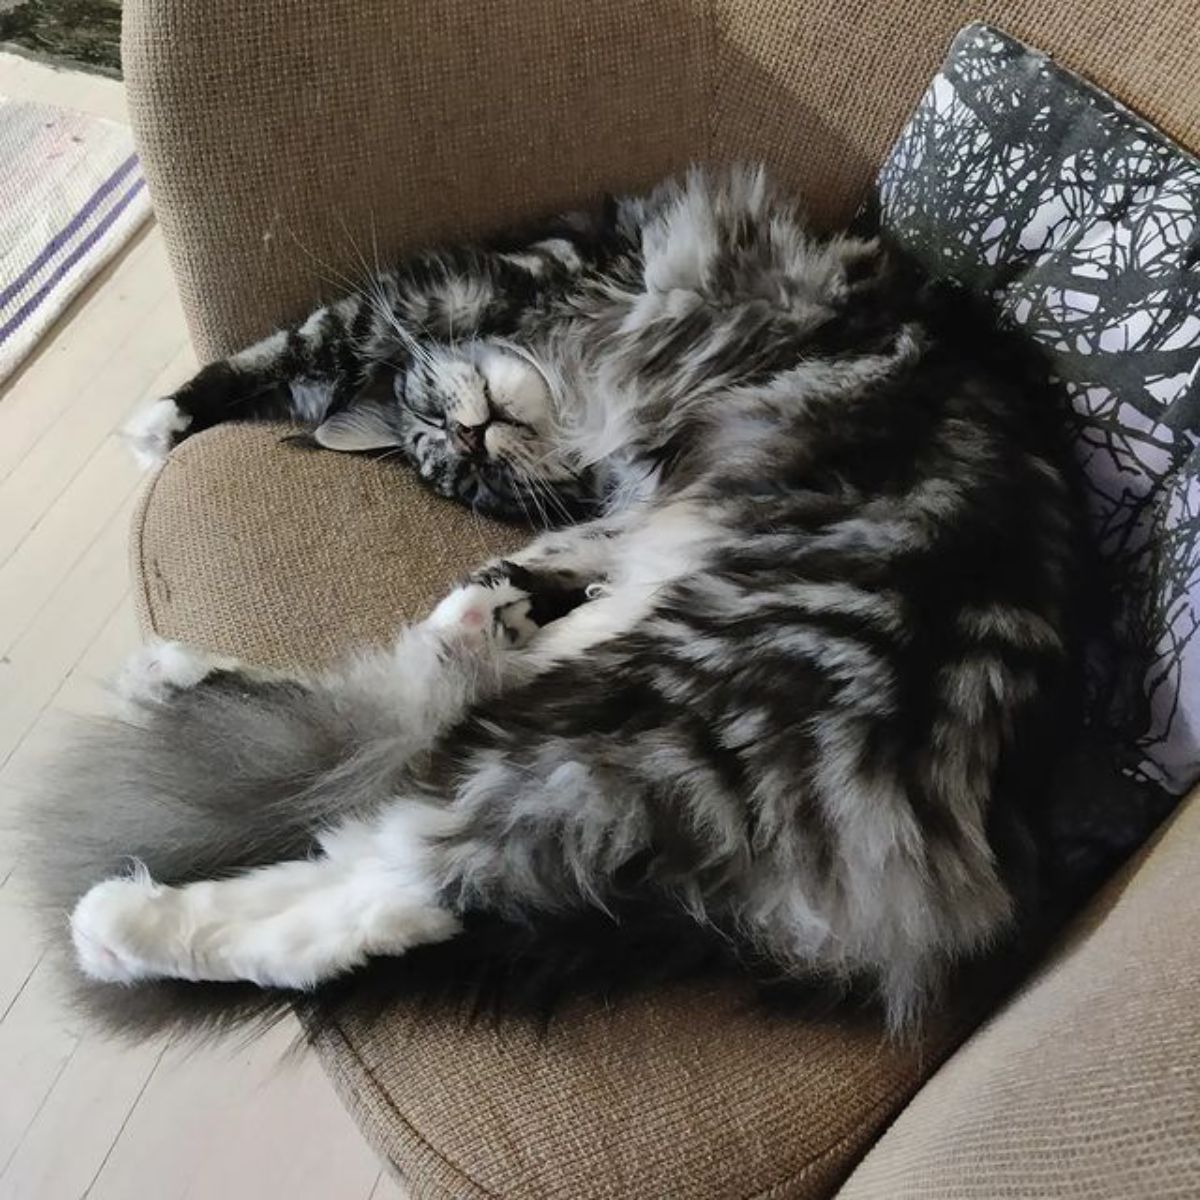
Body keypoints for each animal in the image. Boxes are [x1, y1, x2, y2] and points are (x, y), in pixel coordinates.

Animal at [28, 169, 1089, 1041]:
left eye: (449, 446)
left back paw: (120, 921)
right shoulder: (621, 519)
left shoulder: (471, 282)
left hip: (672, 700)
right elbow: (534, 555)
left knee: (408, 857)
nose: (471, 433)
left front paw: (163, 419)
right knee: (425, 733)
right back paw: (183, 688)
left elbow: (290, 344)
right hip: (646, 676)